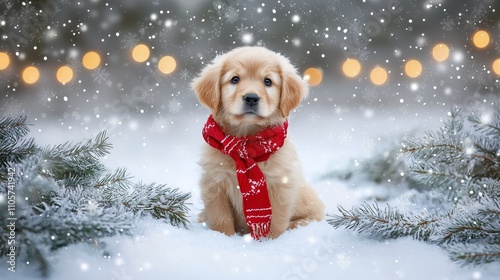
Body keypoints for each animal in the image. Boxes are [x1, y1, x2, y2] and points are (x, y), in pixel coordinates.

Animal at [191, 46, 324, 238]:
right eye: (235, 79)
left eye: (268, 81)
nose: (251, 98)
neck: (246, 142)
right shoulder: (214, 182)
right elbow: (221, 220)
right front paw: (223, 238)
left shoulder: (280, 185)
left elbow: (275, 222)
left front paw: (270, 241)